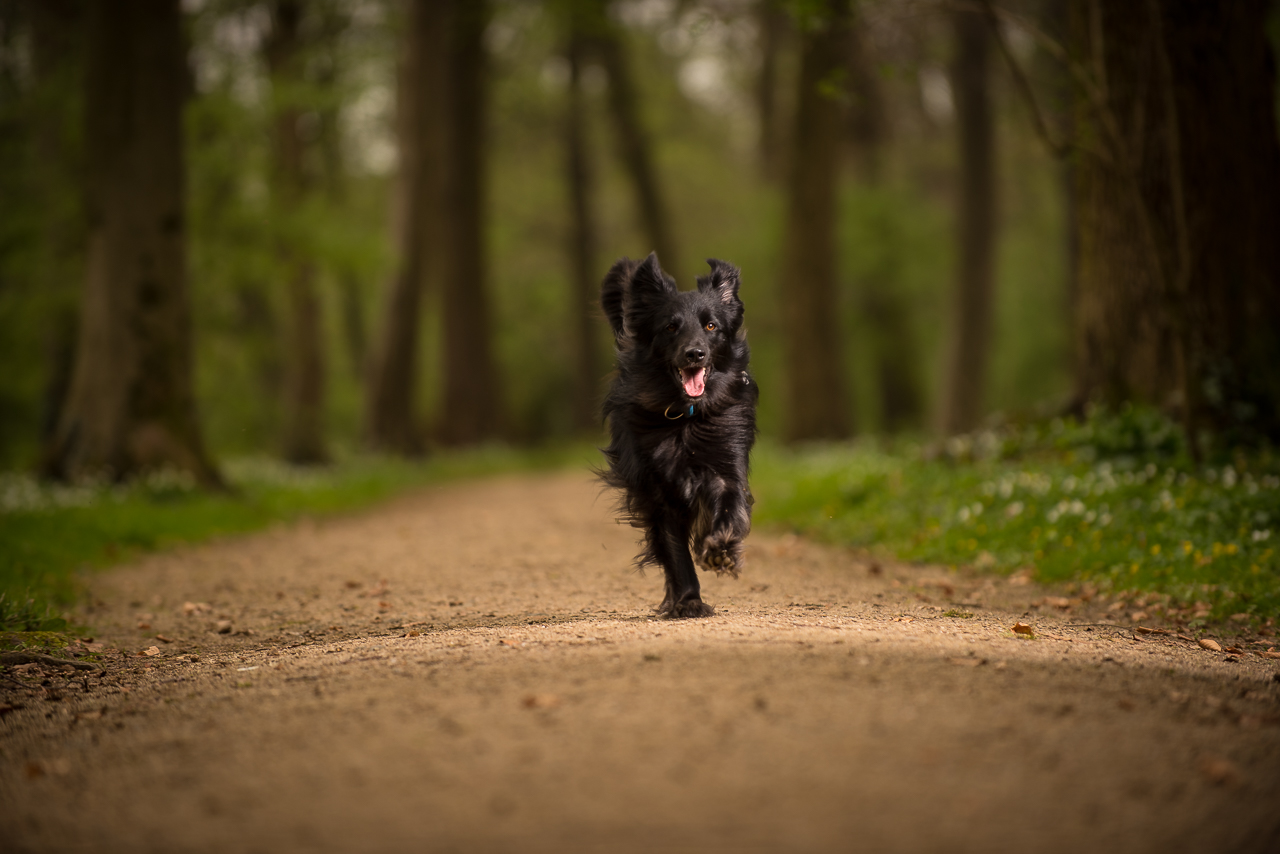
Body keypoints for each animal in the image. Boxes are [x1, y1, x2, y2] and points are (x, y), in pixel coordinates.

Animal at [599, 250, 757, 617]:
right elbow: (675, 551)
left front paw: (721, 549)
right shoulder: (658, 490)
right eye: (671, 327)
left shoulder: (726, 470)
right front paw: (688, 600)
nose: (694, 354)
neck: (687, 418)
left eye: (711, 326)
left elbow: (729, 509)